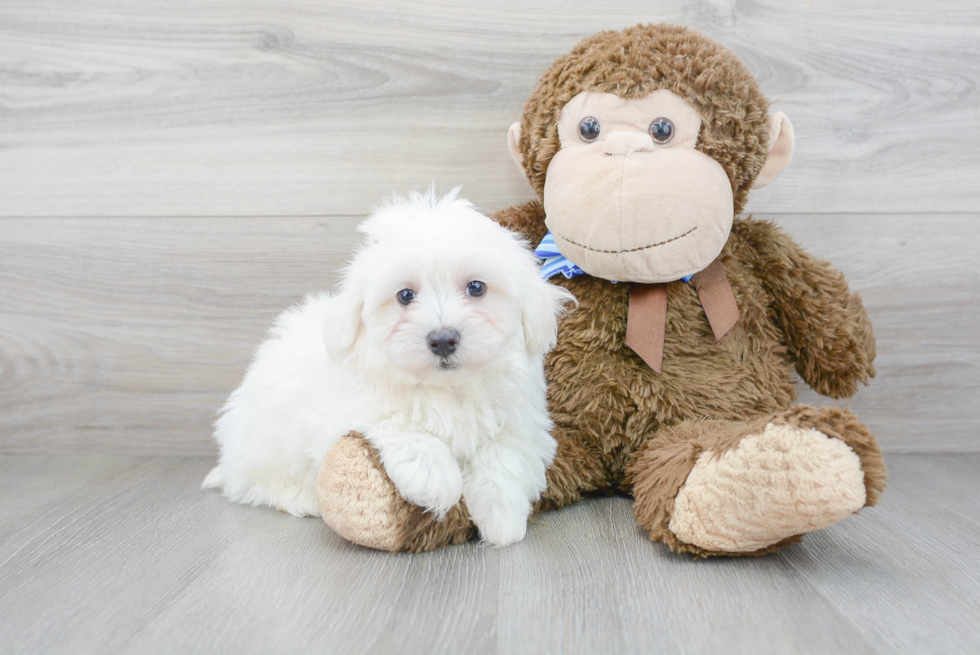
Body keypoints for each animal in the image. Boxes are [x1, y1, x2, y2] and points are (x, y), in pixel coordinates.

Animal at [205, 191, 576, 548]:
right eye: (405, 295)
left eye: (476, 288)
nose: (443, 339)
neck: (446, 388)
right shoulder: (345, 408)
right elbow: (396, 421)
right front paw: (437, 478)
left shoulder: (520, 419)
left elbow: (505, 454)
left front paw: (503, 517)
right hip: (265, 439)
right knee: (253, 484)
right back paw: (300, 498)